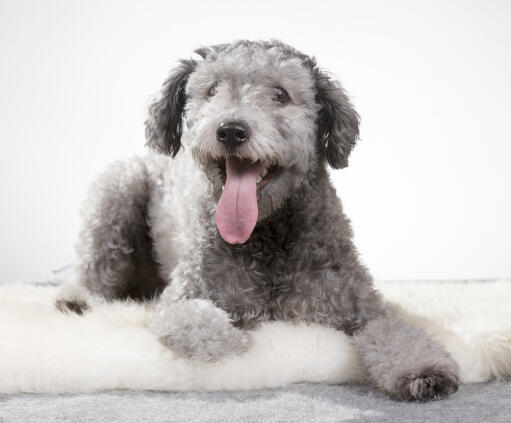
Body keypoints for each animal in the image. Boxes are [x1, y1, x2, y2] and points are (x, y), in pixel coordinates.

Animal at [58, 40, 462, 404]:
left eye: (280, 94)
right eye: (212, 90)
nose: (231, 129)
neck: (266, 234)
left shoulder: (359, 306)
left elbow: (396, 331)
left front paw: (424, 372)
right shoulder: (180, 299)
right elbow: (191, 321)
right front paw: (234, 339)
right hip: (116, 189)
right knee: (94, 266)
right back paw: (77, 298)